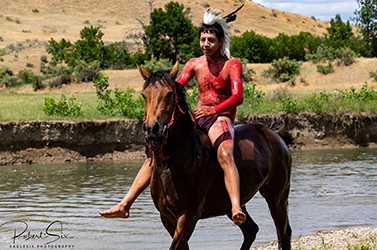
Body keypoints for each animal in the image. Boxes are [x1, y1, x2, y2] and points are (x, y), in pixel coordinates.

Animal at [137, 61, 290, 249]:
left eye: (169, 94)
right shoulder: (167, 218)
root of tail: (275, 136)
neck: (174, 165)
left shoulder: (188, 216)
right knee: (252, 230)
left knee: (283, 233)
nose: (152, 129)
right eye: (144, 95)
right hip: (231, 204)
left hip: (277, 198)